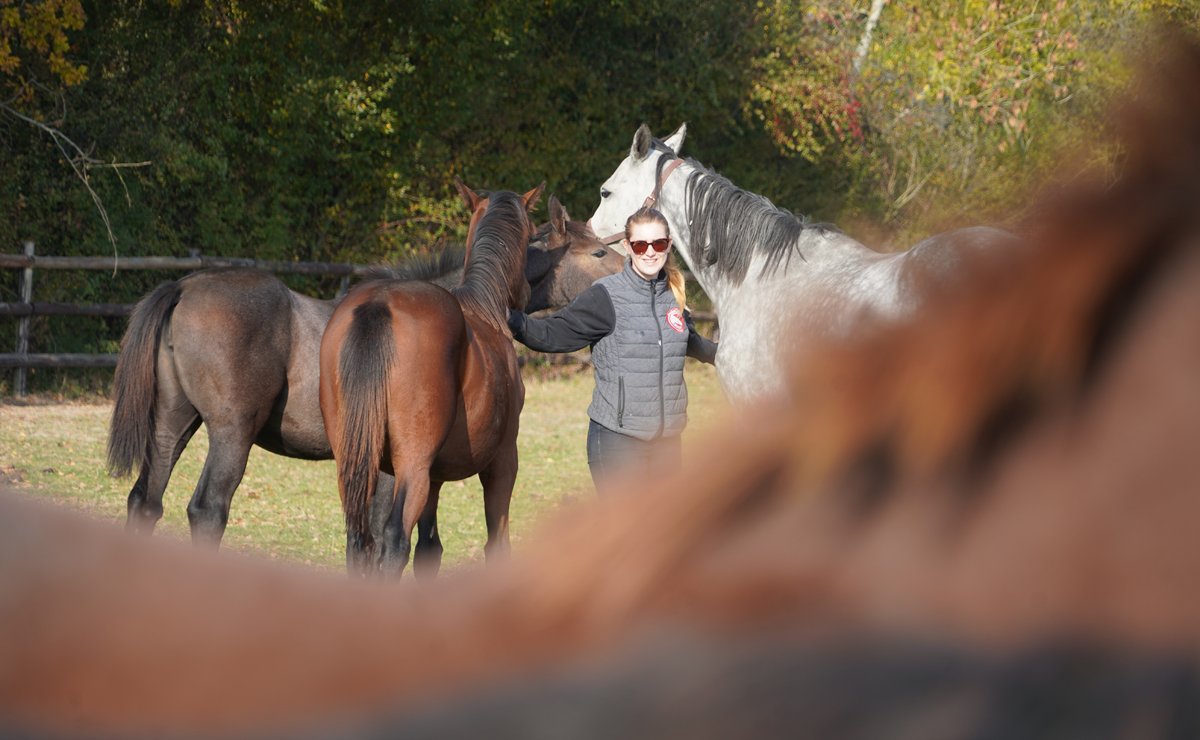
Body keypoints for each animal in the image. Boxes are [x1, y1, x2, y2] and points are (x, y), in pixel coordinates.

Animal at [108, 194, 620, 547]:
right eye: (597, 253)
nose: (633, 268)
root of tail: (184, 286)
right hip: (231, 432)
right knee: (207, 509)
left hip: (173, 423)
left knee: (145, 501)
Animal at [318, 182, 543, 577]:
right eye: (532, 235)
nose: (527, 296)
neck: (483, 309)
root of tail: (379, 303)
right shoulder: (503, 460)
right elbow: (495, 545)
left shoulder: (436, 477)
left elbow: (429, 550)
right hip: (413, 467)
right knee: (393, 540)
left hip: (353, 462)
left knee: (359, 541)